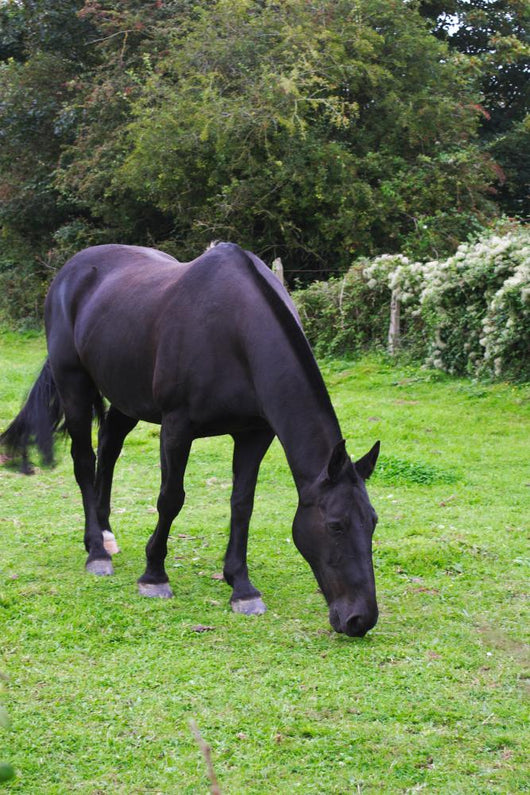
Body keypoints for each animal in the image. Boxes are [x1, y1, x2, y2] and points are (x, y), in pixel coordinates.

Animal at [1, 242, 380, 637]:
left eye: (372, 522)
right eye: (335, 525)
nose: (360, 619)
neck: (236, 332)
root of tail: (70, 270)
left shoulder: (254, 434)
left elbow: (242, 504)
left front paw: (241, 587)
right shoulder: (176, 428)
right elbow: (170, 499)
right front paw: (154, 576)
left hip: (127, 397)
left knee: (108, 448)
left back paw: (105, 534)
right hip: (74, 386)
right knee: (83, 461)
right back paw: (97, 552)